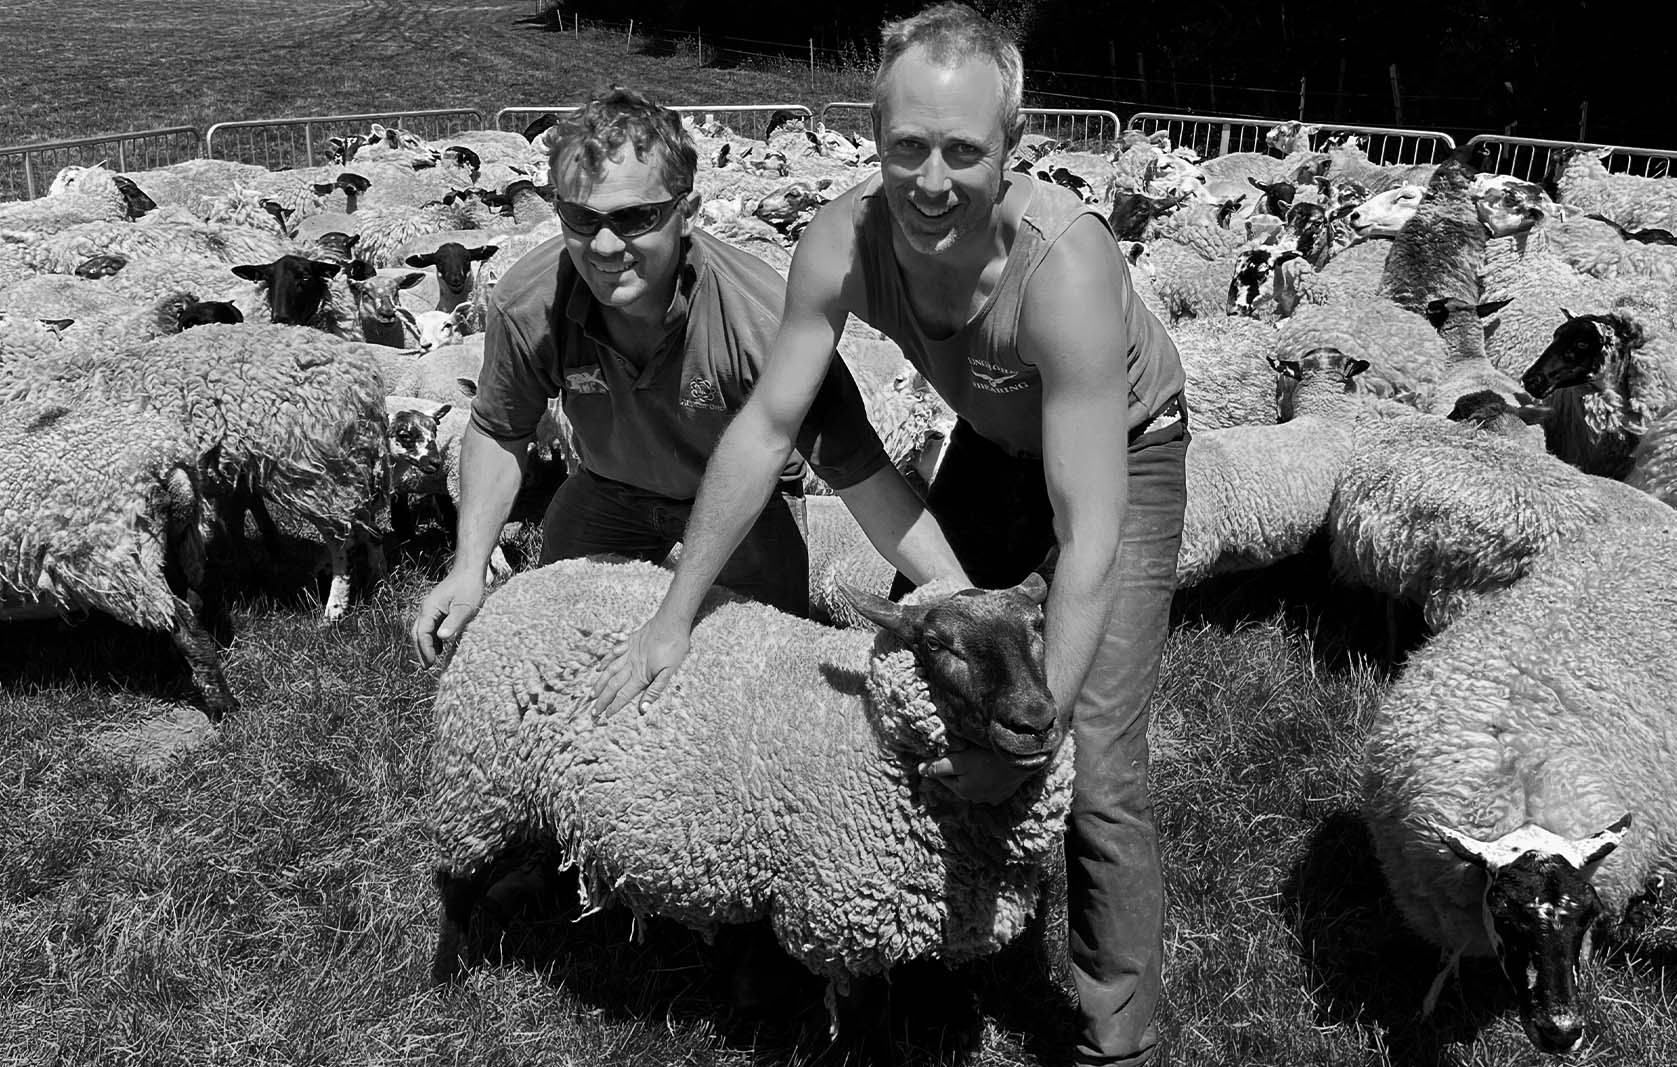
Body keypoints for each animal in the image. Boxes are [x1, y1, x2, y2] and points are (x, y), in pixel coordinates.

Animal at [0, 398, 236, 717]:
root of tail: (170, 463)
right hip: (176, 545)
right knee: (190, 602)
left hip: (119, 558)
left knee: (184, 621)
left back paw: (222, 702)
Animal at [427, 557, 1074, 1041]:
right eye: (938, 644)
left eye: (1037, 627)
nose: (1034, 723)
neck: (865, 727)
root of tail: (535, 577)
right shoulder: (846, 918)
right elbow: (866, 1025)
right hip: (480, 775)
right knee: (457, 881)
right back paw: (445, 981)